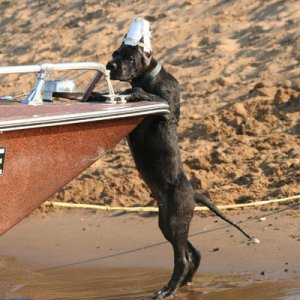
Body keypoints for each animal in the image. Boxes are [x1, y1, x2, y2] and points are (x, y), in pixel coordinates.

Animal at [104, 18, 254, 298]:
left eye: (128, 57)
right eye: (115, 53)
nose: (110, 65)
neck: (150, 78)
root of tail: (194, 192)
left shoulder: (164, 104)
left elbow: (144, 93)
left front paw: (134, 91)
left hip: (174, 221)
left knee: (183, 258)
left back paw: (169, 289)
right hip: (169, 222)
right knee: (192, 252)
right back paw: (182, 283)